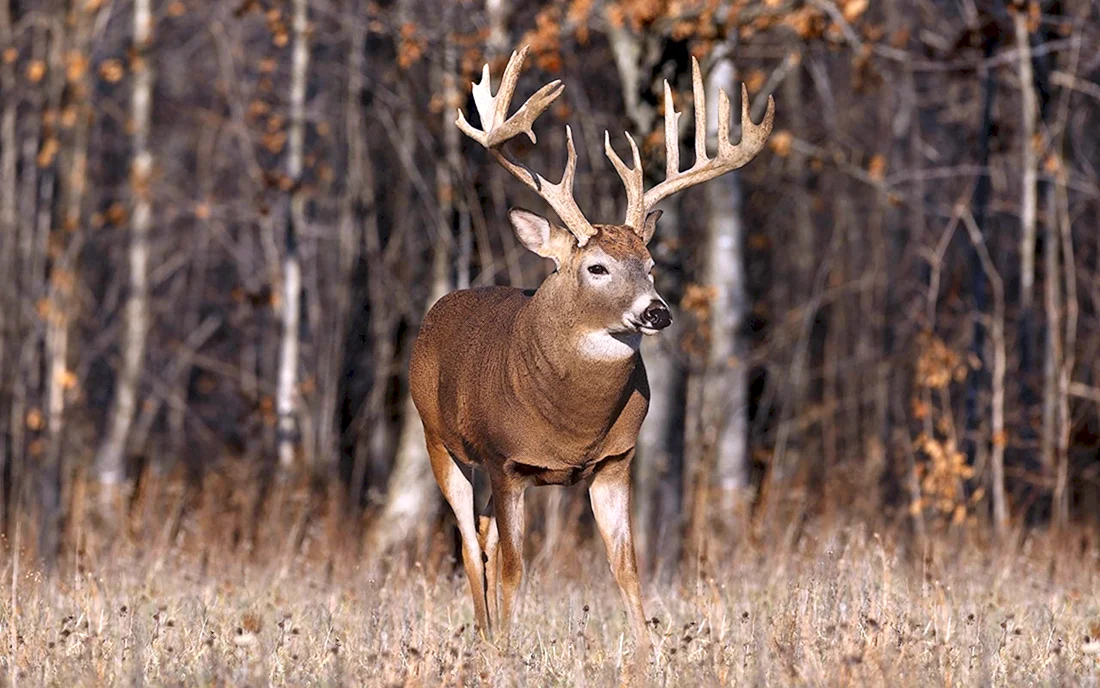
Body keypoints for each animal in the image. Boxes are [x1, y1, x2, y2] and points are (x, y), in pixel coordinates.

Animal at [409, 45, 773, 652]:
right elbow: (515, 567)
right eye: (596, 267)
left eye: (650, 264)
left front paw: (648, 653)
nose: (657, 311)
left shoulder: (616, 461)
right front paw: (508, 651)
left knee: (483, 535)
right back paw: (486, 638)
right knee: (468, 542)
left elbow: (626, 565)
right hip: (440, 441)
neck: (573, 426)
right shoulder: (506, 461)